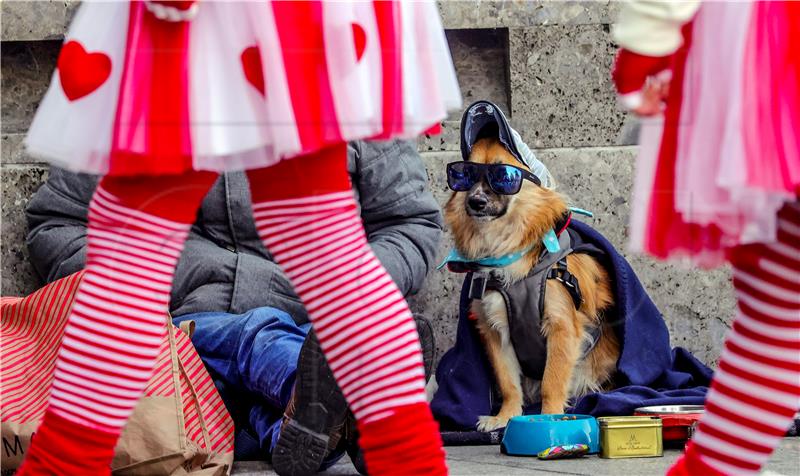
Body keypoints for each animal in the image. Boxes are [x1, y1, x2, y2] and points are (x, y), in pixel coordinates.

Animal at [444, 137, 620, 432]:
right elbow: (508, 382)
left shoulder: (561, 328)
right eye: (464, 175)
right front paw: (505, 417)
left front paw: (550, 417)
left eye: (503, 176)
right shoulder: (496, 331)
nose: (476, 201)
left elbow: (552, 381)